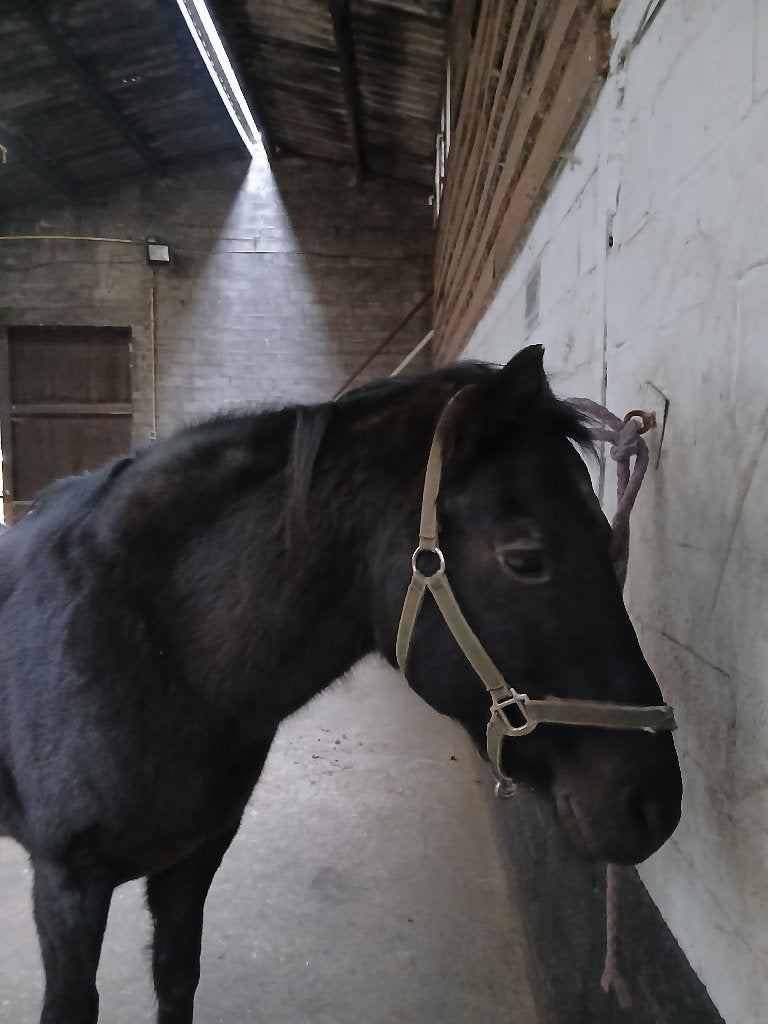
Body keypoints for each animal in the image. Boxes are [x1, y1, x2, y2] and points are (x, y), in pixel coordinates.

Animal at [0, 345, 682, 1024]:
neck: (142, 645)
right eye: (524, 558)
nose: (654, 805)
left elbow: (175, 977)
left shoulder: (194, 858)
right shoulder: (68, 884)